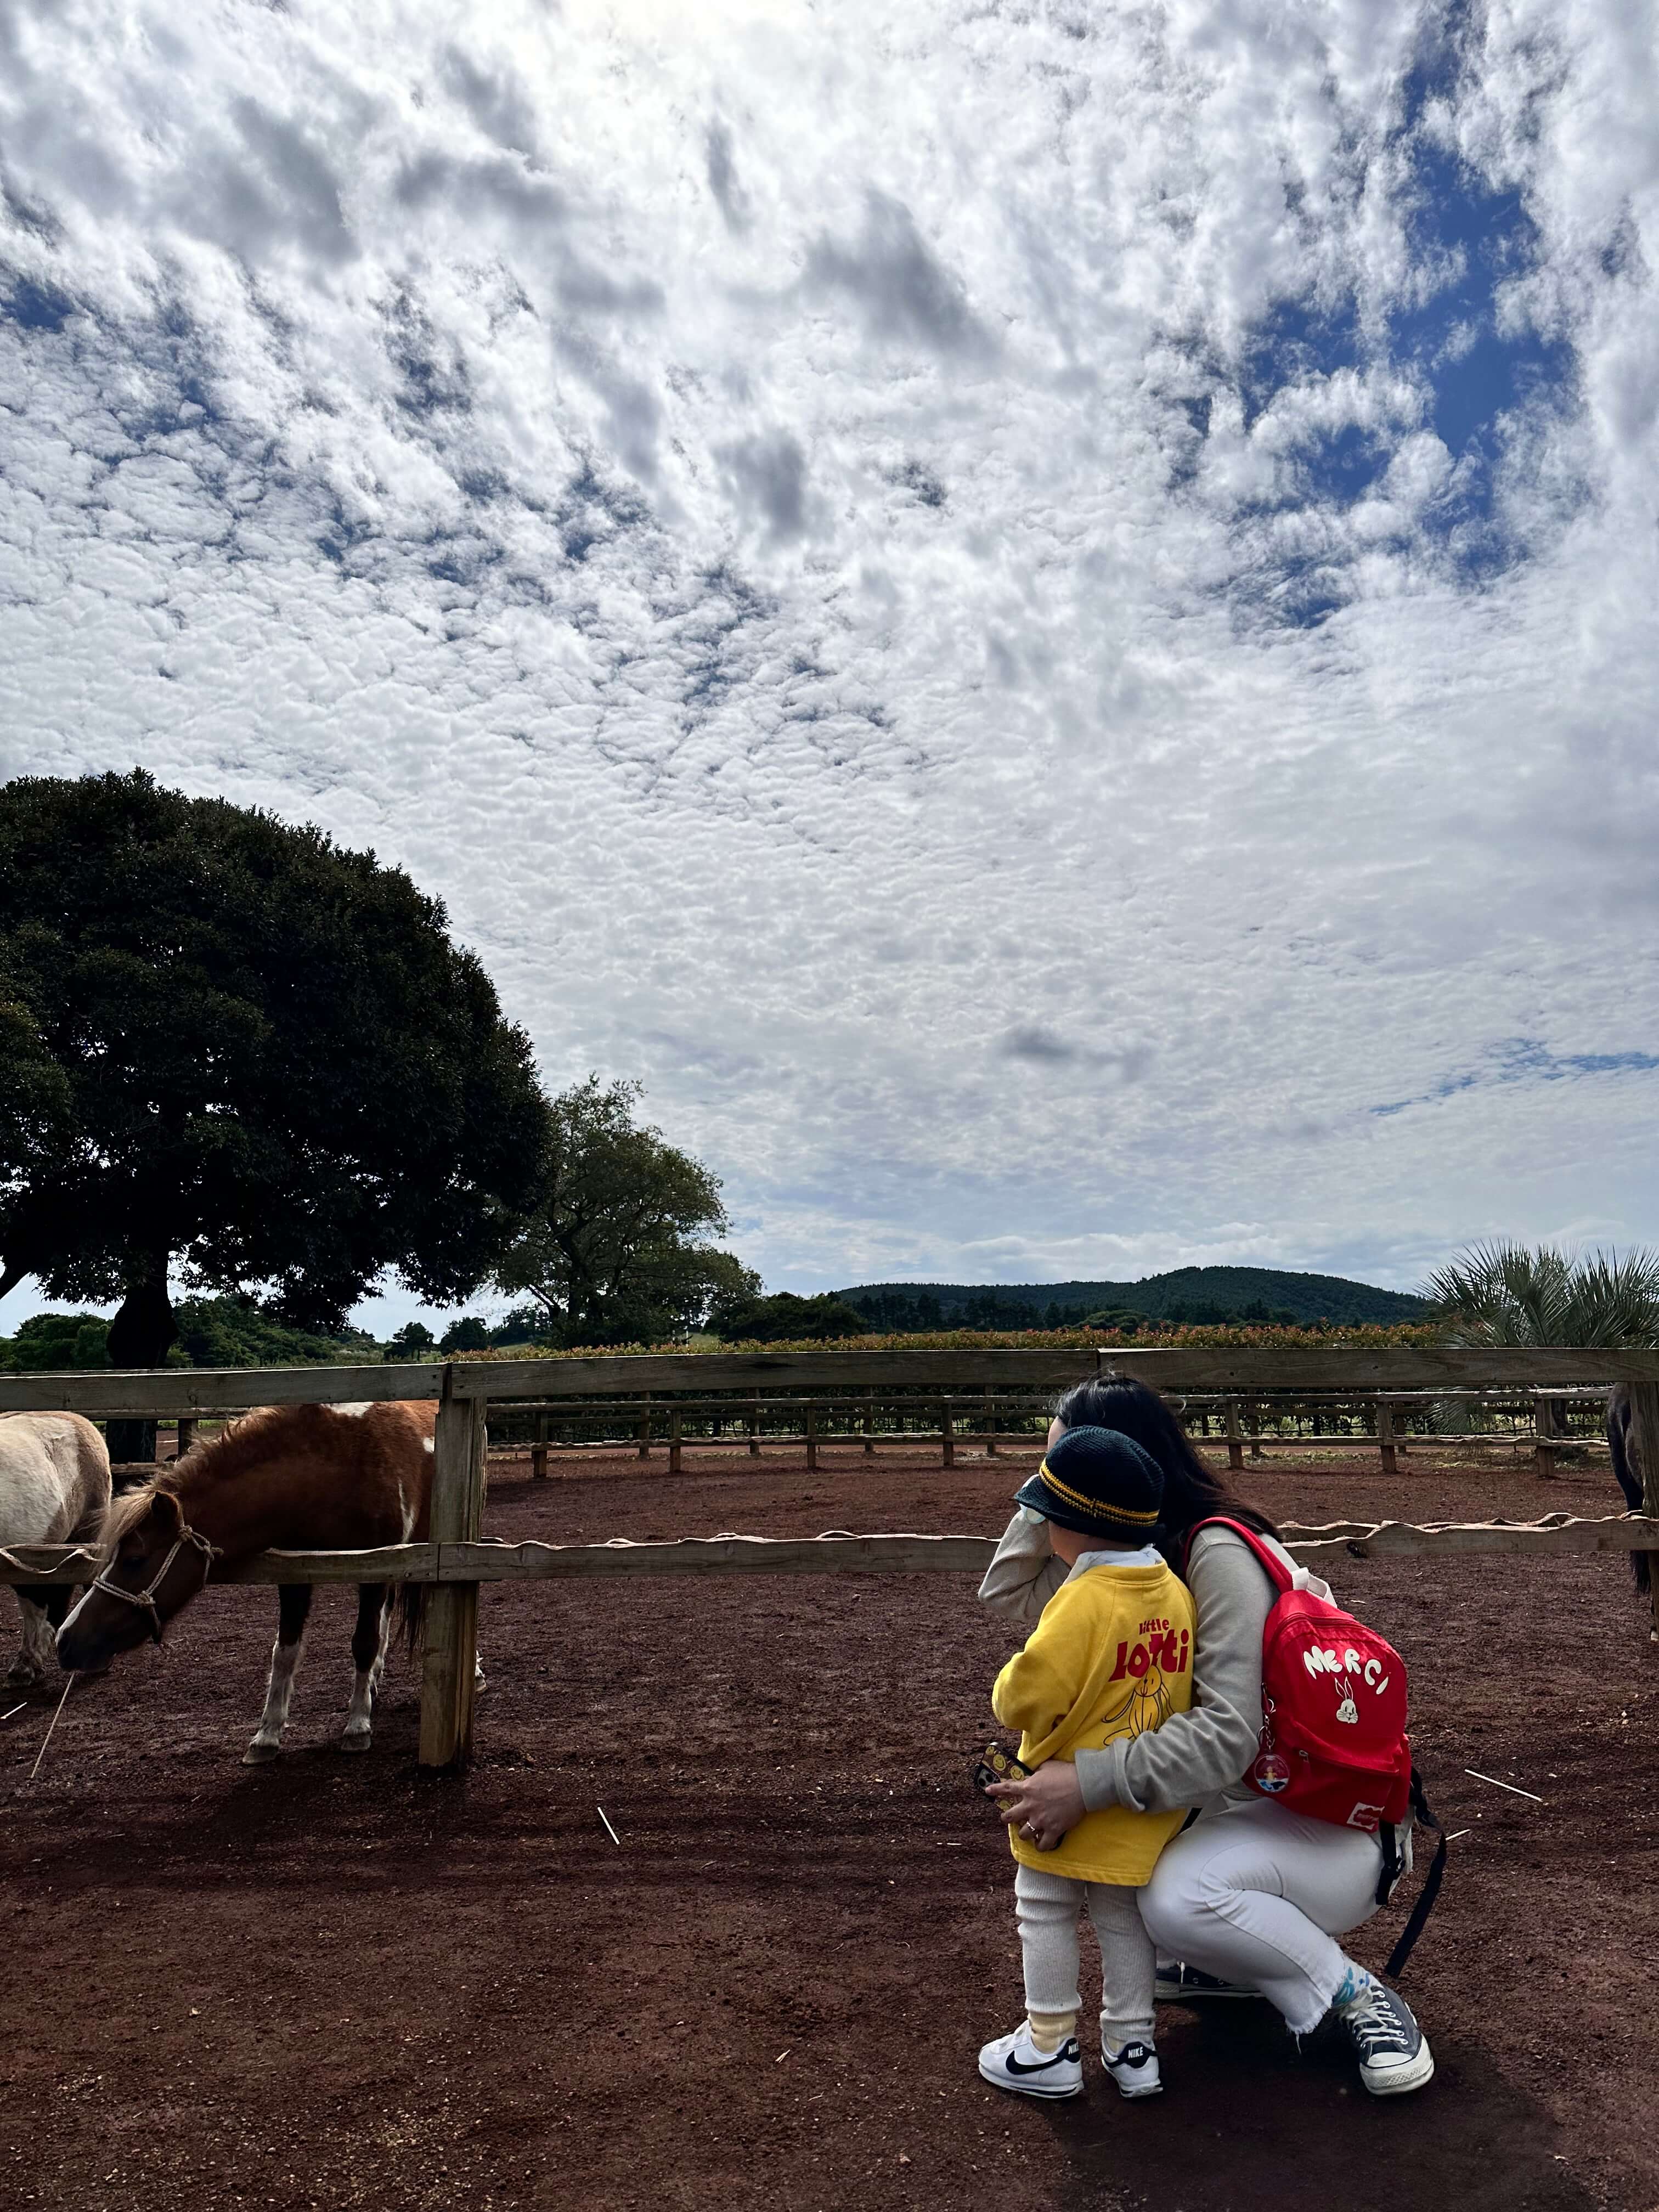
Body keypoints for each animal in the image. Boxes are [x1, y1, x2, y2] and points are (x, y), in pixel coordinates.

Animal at [58, 1398, 455, 1760]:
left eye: (135, 1560)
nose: (66, 1641)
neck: (337, 1470)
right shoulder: (296, 1575)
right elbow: (286, 1651)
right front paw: (268, 1734)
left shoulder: (374, 1572)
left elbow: (364, 1642)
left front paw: (357, 1726)